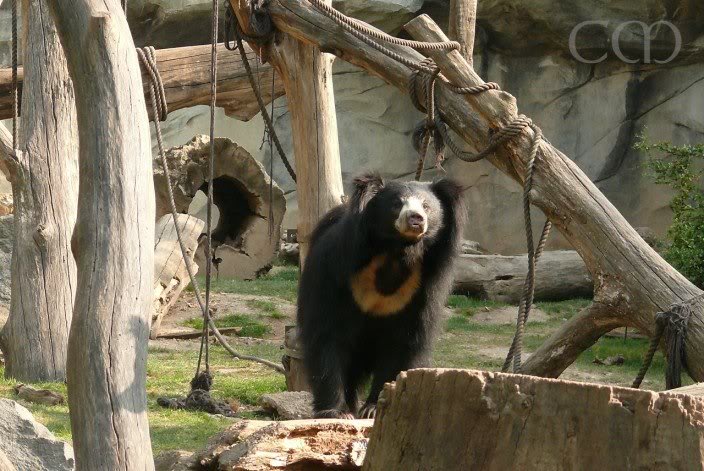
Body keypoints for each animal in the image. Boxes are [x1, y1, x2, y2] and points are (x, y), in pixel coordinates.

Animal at [296, 173, 466, 419]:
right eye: (397, 204)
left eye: (426, 206)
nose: (416, 218)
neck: (395, 252)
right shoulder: (334, 271)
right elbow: (327, 335)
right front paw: (336, 412)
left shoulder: (422, 288)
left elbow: (403, 341)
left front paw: (373, 408)